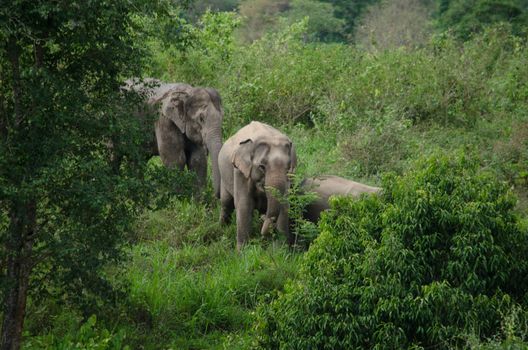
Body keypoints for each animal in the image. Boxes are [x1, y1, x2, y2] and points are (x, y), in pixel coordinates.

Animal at [219, 121, 296, 250]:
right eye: (262, 166)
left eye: (288, 167)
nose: (264, 219)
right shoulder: (240, 171)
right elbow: (244, 205)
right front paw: (242, 251)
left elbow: (284, 206)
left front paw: (280, 249)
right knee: (226, 203)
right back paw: (222, 227)